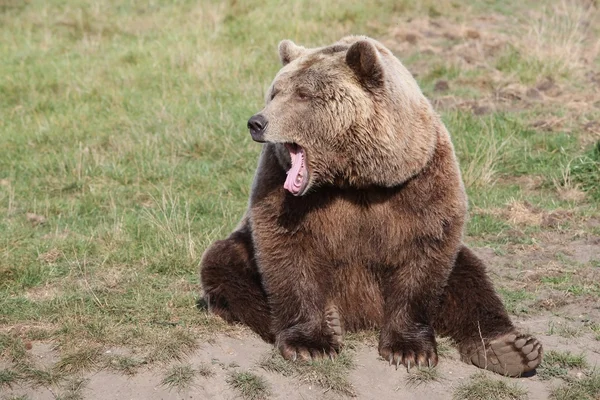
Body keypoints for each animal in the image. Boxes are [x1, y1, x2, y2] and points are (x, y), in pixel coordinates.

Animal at [199, 36, 540, 376]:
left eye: (303, 94)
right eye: (275, 92)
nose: (257, 122)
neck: (354, 178)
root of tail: (363, 318)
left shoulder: (421, 179)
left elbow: (424, 253)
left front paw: (409, 351)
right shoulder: (282, 188)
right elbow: (288, 250)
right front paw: (310, 344)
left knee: (470, 279)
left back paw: (509, 349)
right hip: (240, 249)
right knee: (227, 266)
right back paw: (331, 320)